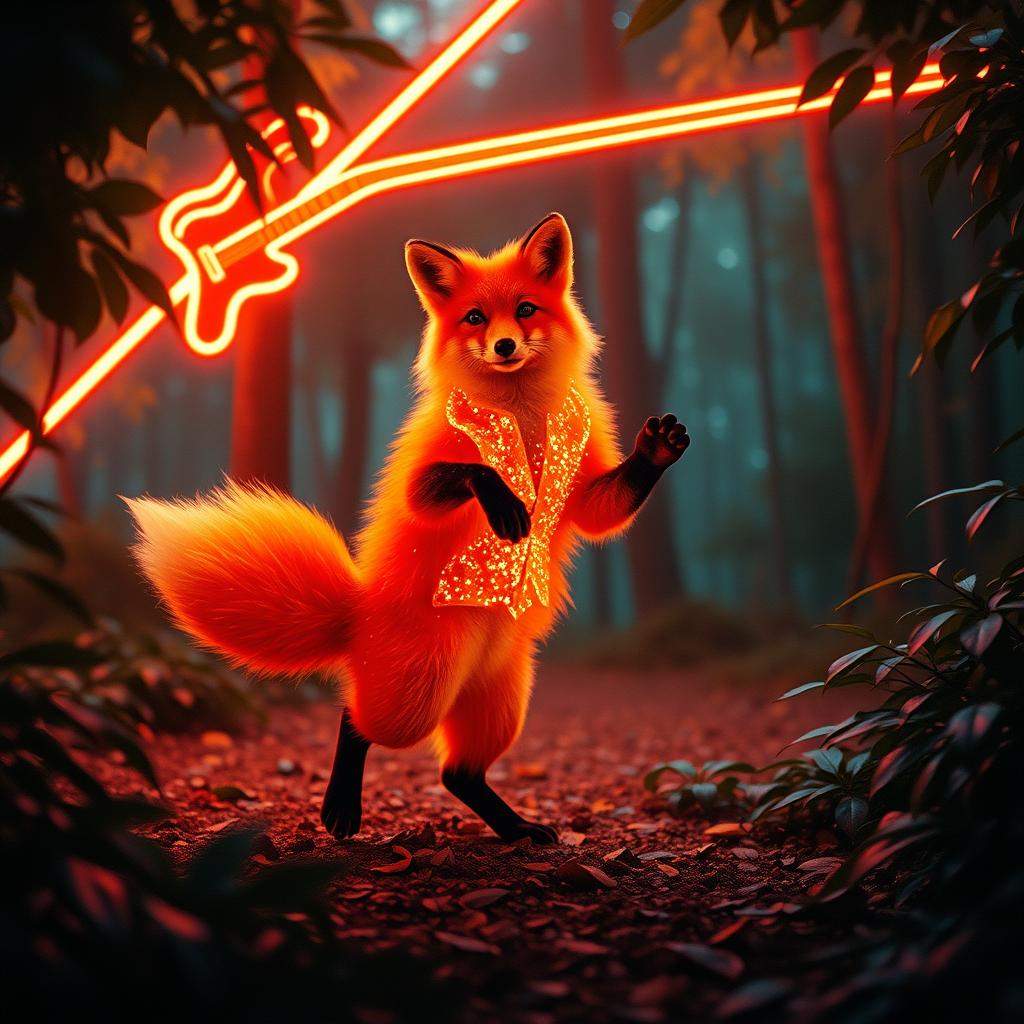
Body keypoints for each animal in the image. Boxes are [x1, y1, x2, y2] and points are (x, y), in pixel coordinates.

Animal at [127, 212, 689, 844]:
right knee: (355, 719)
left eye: (524, 309)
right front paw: (503, 498)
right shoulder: (427, 477)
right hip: (418, 696)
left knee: (457, 775)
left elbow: (604, 510)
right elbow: (469, 472)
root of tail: (356, 613)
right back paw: (341, 808)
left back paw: (516, 828)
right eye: (475, 317)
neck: (519, 414)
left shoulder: (585, 490)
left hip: (502, 701)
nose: (504, 346)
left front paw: (656, 451)